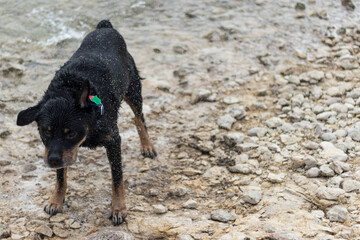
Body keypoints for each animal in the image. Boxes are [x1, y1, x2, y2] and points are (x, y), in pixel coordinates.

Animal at [16, 19, 157, 225]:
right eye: (45, 131)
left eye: (72, 133)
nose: (52, 160)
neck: (69, 91)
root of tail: (105, 27)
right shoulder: (57, 150)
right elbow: (61, 177)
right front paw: (56, 201)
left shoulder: (113, 140)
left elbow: (117, 178)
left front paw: (118, 208)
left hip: (133, 88)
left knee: (139, 117)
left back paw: (147, 145)